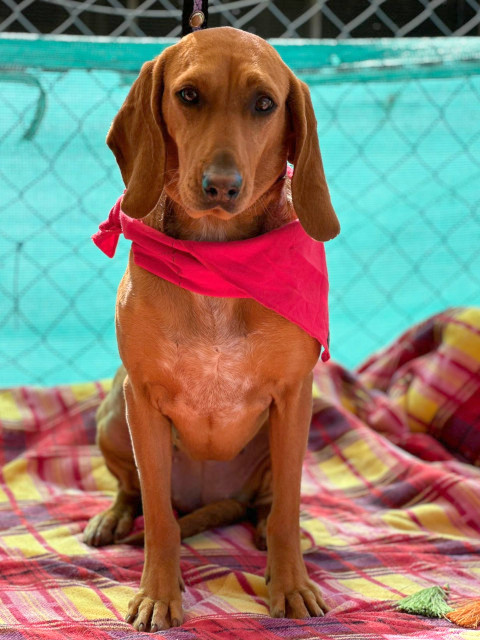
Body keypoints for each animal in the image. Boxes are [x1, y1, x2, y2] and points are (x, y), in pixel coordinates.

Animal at [85, 26, 340, 632]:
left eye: (265, 104)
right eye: (189, 95)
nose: (221, 185)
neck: (216, 259)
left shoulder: (293, 396)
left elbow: (287, 510)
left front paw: (290, 583)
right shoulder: (143, 400)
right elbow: (158, 519)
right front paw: (158, 592)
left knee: (266, 507)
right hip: (112, 414)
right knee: (137, 495)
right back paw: (114, 517)